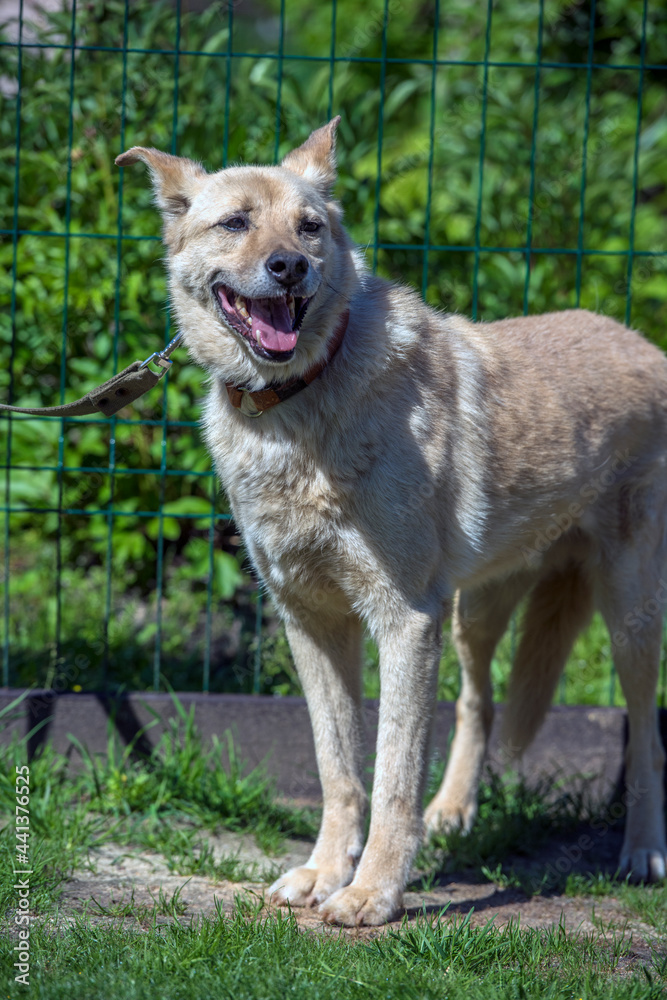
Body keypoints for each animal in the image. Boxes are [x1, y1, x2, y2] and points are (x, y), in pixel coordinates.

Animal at [117, 119, 667, 928]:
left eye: (310, 228)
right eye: (236, 223)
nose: (288, 268)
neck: (298, 404)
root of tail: (639, 341)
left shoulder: (403, 620)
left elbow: (391, 776)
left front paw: (372, 894)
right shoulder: (313, 622)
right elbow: (338, 769)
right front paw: (322, 874)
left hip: (628, 615)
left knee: (646, 733)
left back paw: (642, 853)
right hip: (477, 610)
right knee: (479, 700)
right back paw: (454, 812)